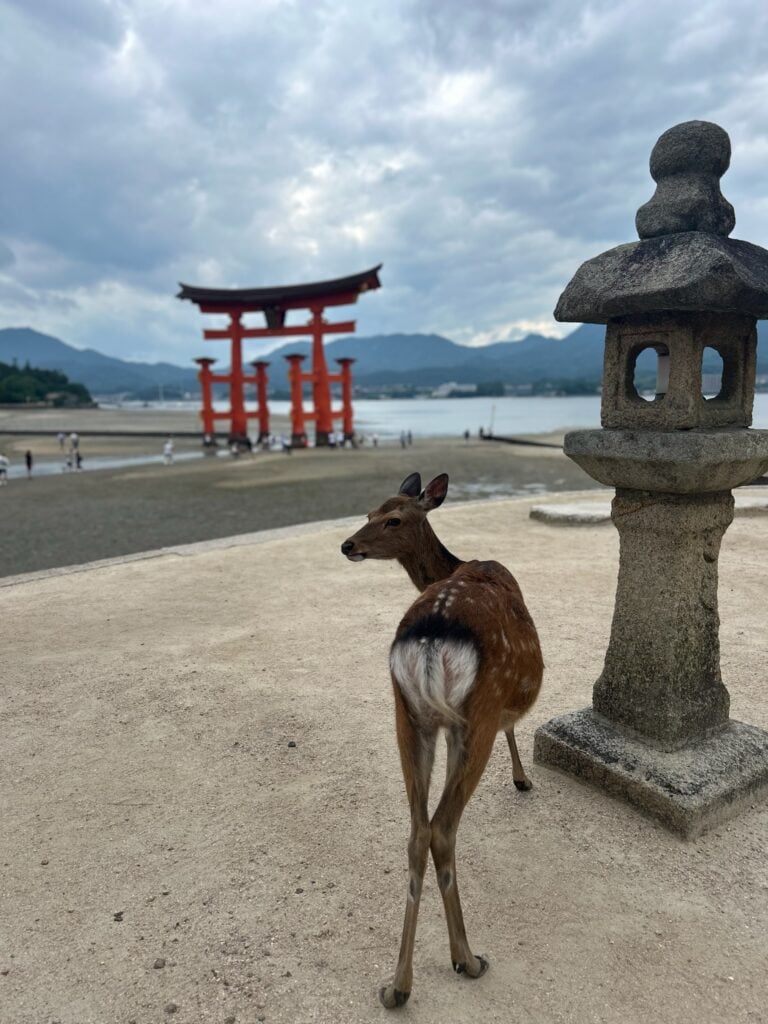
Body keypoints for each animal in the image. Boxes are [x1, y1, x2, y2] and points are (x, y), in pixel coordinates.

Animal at [340, 471, 543, 1009]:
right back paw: (467, 959)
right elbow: (515, 724)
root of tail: (432, 638)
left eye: (389, 517)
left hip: (406, 714)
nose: (347, 544)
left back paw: (397, 987)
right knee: (442, 829)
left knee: (416, 832)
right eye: (368, 513)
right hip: (475, 712)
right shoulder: (499, 708)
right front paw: (522, 779)